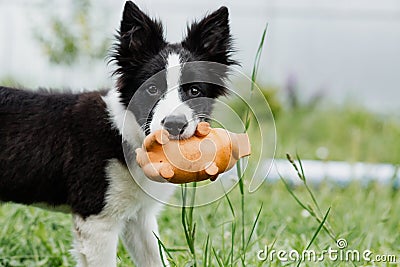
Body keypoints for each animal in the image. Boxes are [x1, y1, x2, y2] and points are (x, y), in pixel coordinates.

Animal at [0, 2, 236, 267]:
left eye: (195, 91)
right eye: (151, 89)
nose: (174, 126)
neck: (123, 134)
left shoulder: (140, 217)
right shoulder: (96, 220)